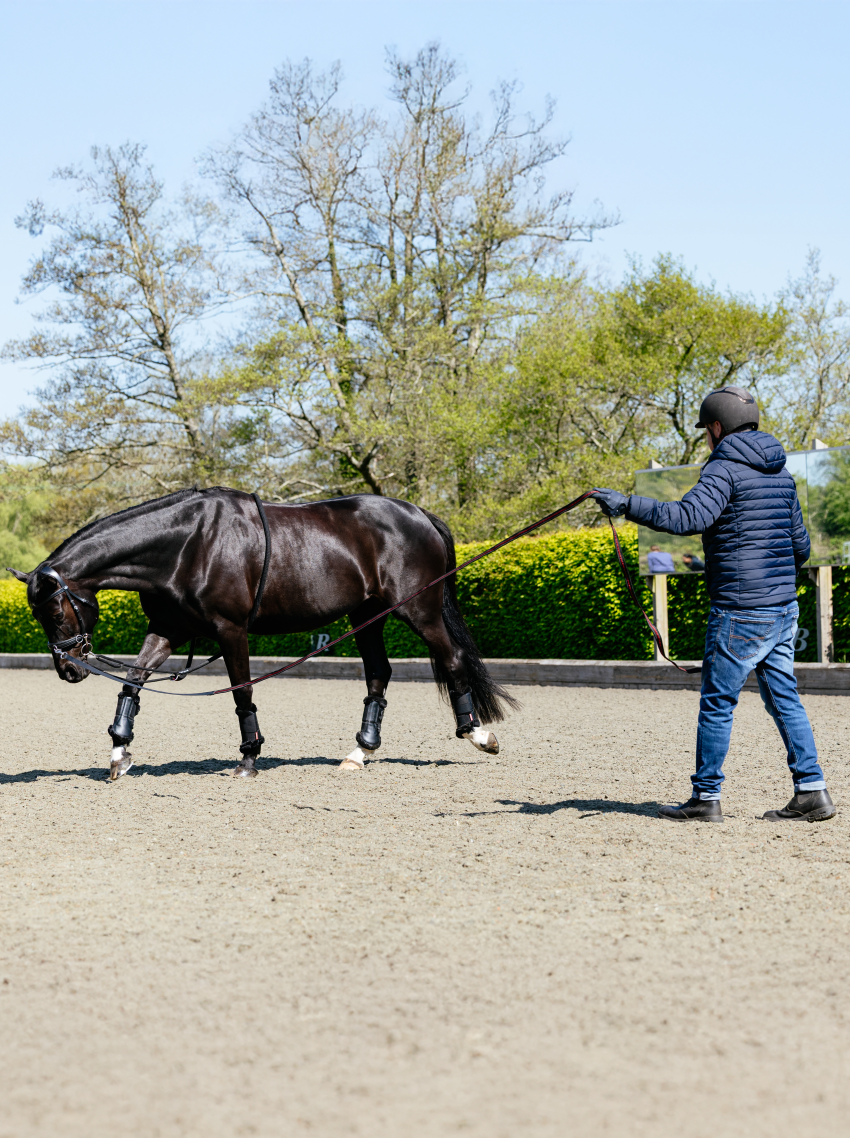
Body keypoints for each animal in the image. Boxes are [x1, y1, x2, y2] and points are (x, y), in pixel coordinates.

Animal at [8, 488, 517, 780]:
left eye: (53, 609)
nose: (68, 669)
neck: (185, 544)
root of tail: (419, 513)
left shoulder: (230, 631)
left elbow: (241, 692)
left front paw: (249, 758)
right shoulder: (169, 629)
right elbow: (133, 682)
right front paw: (119, 752)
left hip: (418, 610)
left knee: (451, 658)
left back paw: (478, 734)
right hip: (367, 614)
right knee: (378, 672)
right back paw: (359, 752)